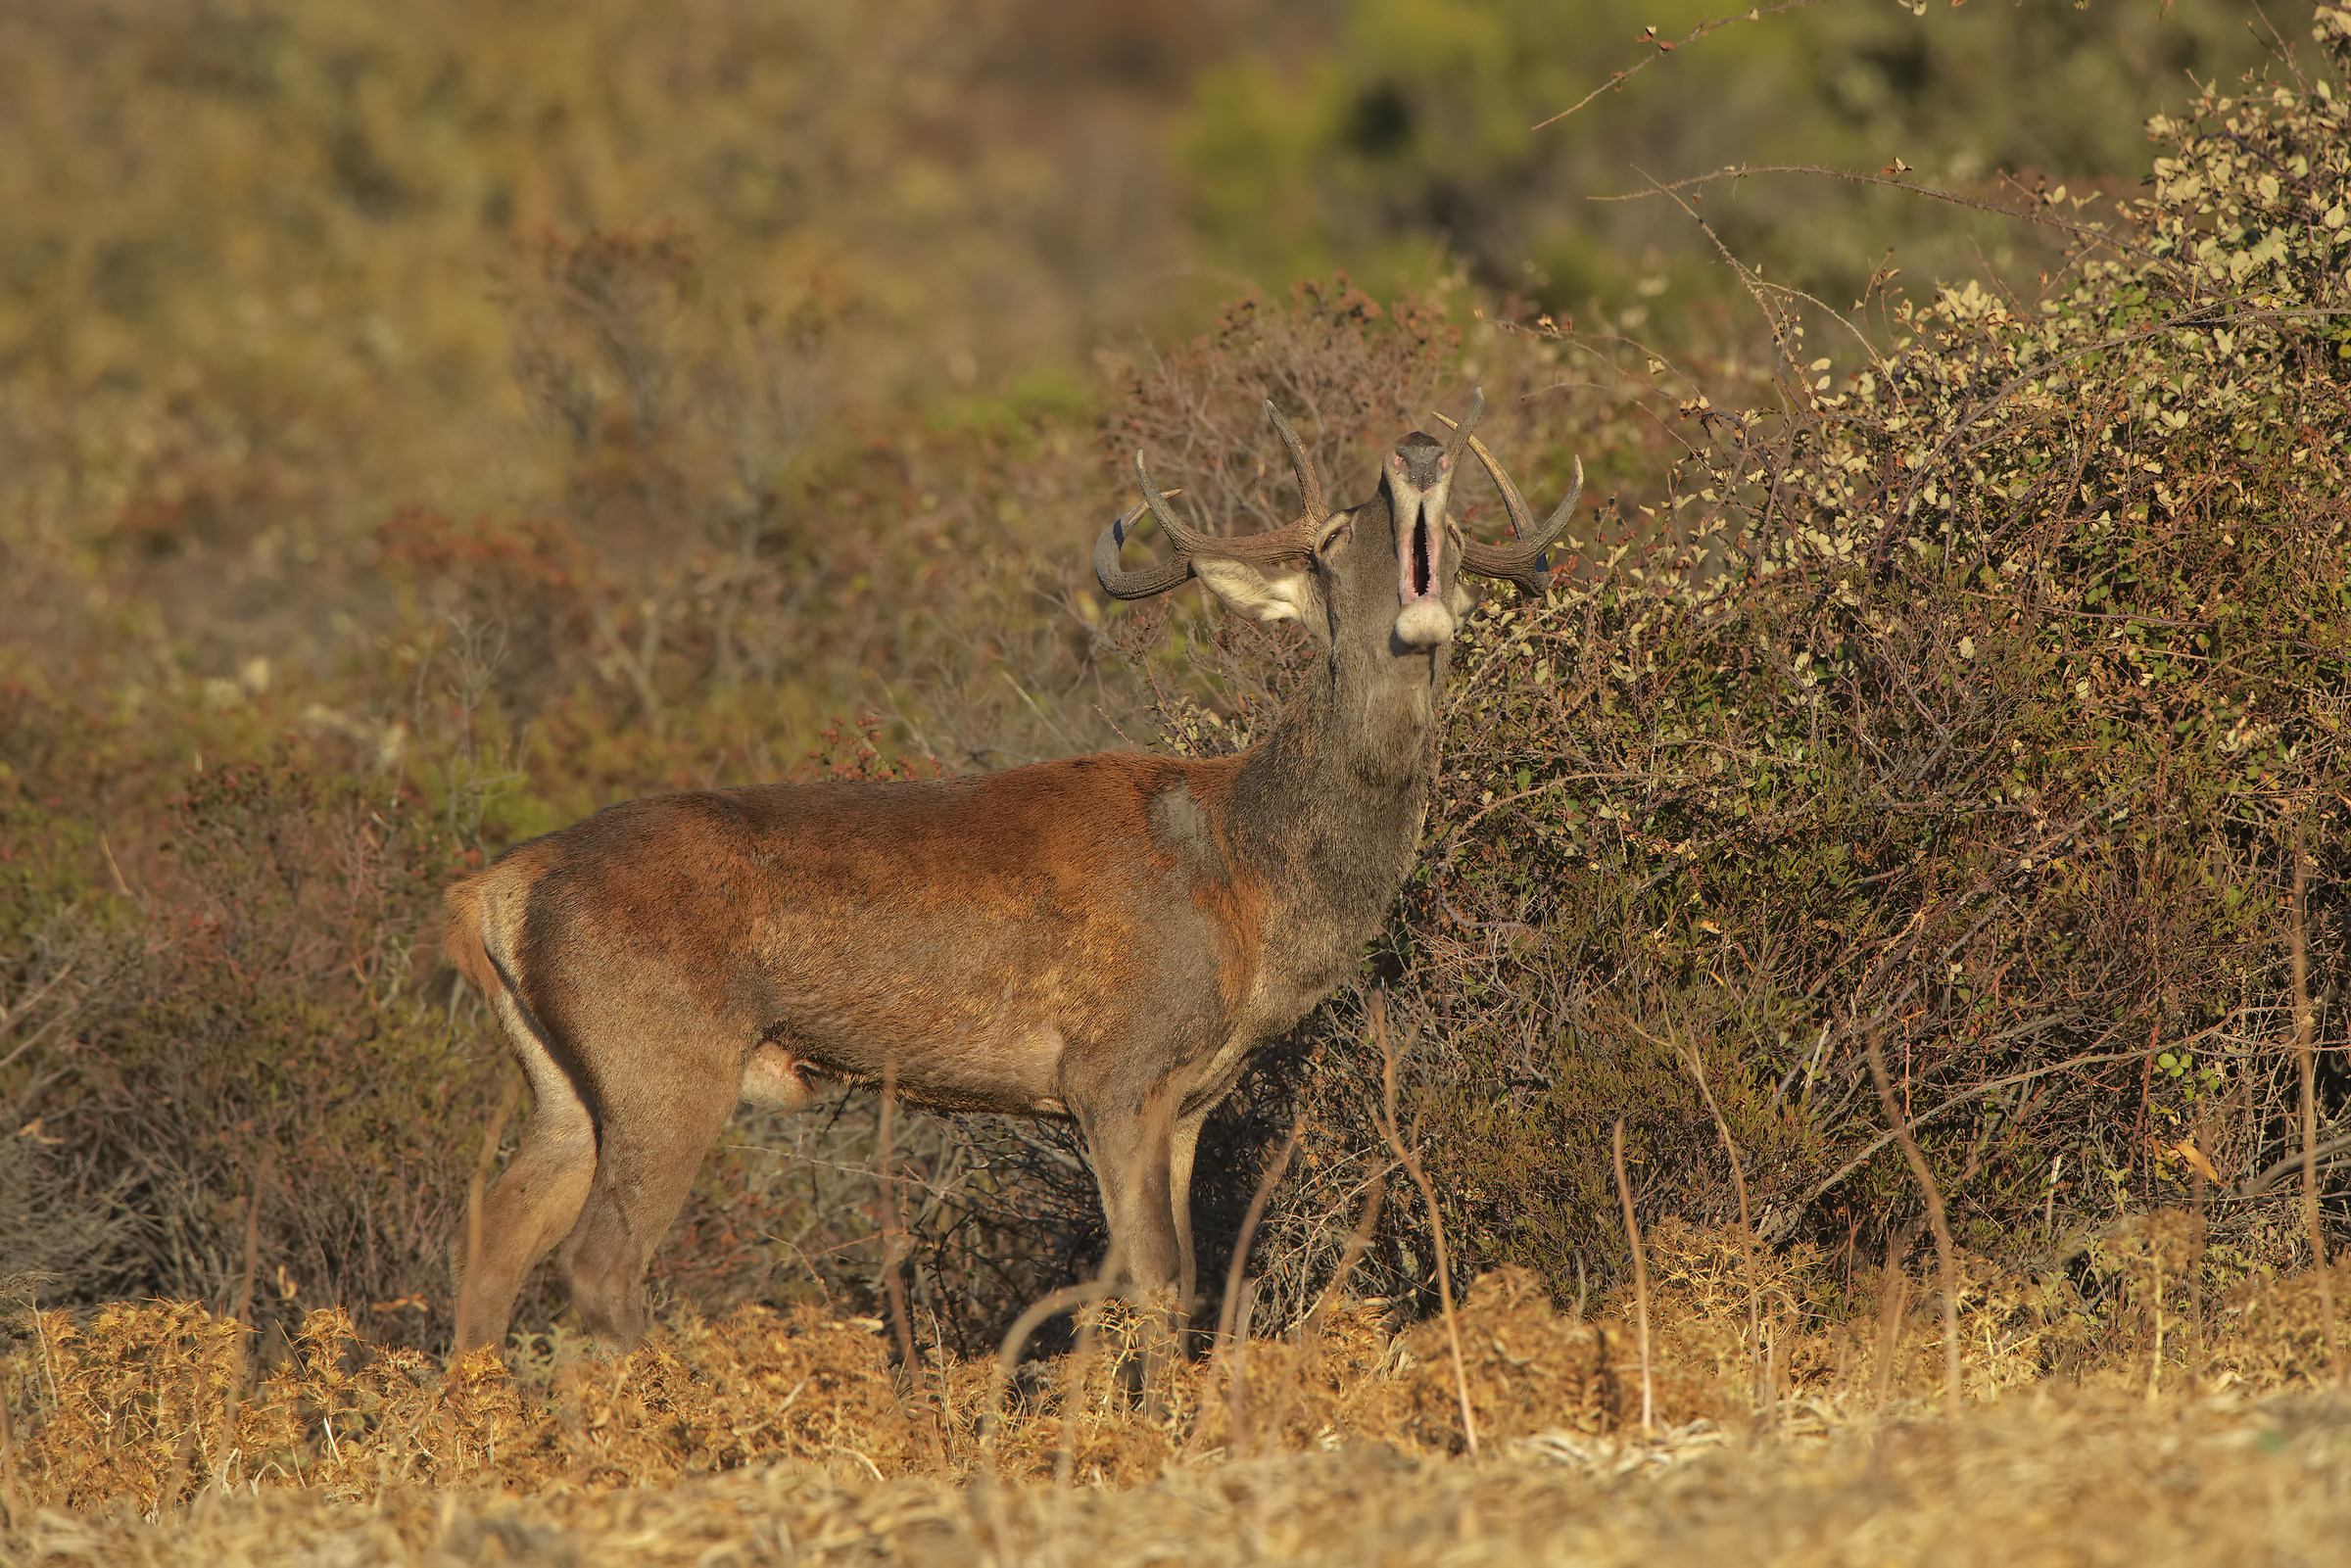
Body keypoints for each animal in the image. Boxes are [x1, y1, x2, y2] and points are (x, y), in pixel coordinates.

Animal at [440, 390, 1581, 1355]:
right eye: (1337, 536)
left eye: (1463, 541)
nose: (1420, 450)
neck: (1255, 886)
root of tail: (492, 890)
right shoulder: (1115, 1067)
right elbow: (1154, 1277)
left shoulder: (1188, 1098)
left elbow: (1166, 1273)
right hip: (664, 1057)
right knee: (598, 1262)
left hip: (565, 1080)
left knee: (494, 1232)